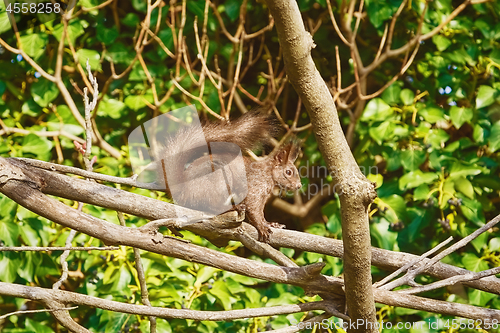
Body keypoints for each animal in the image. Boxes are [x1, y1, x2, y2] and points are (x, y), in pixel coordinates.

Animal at [154, 110, 302, 243]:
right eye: (288, 172)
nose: (299, 186)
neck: (267, 173)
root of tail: (182, 191)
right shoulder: (255, 188)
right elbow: (254, 210)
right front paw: (262, 227)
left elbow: (260, 212)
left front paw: (270, 224)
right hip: (217, 178)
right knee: (209, 206)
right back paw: (233, 207)